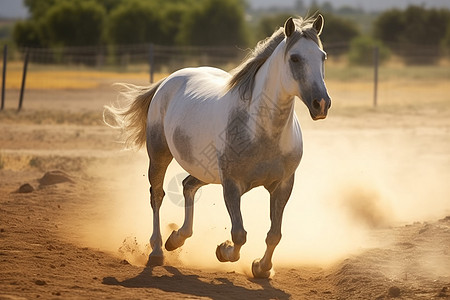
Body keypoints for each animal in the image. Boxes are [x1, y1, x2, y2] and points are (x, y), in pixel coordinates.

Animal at [105, 15, 330, 278]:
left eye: (323, 56)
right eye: (295, 58)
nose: (321, 104)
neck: (262, 132)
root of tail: (167, 81)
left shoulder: (283, 185)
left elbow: (274, 234)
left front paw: (261, 268)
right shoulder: (231, 185)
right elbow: (239, 234)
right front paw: (223, 250)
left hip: (206, 172)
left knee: (187, 186)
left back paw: (176, 239)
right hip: (159, 155)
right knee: (157, 196)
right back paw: (157, 251)